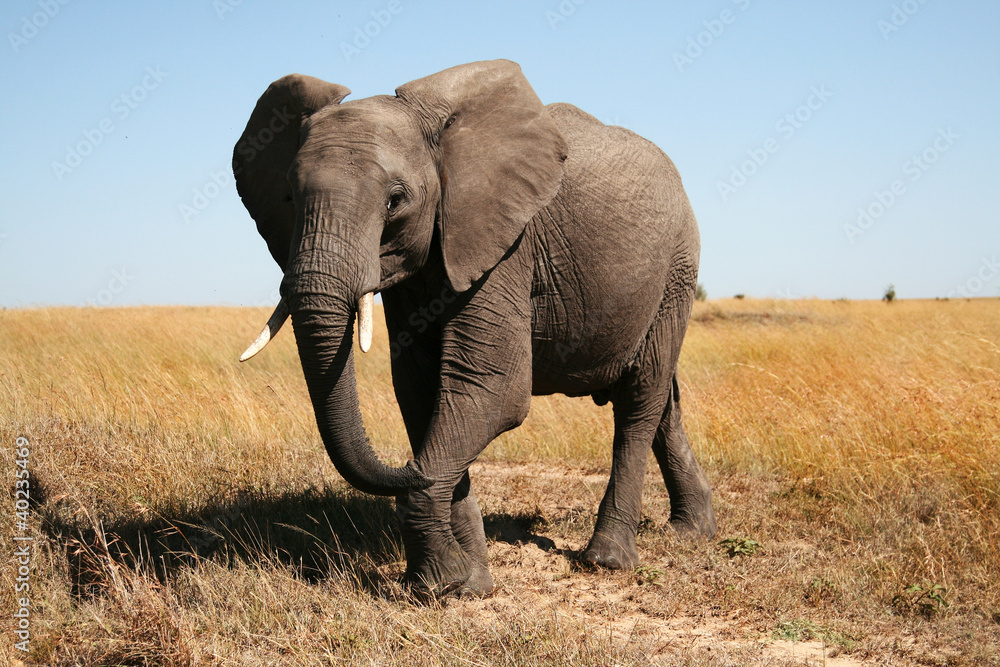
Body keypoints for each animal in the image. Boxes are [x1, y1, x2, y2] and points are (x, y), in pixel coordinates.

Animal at [233, 60, 716, 598]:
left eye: (395, 201)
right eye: (290, 198)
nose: (405, 471)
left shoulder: (505, 248)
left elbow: (489, 391)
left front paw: (440, 583)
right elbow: (422, 394)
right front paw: (463, 585)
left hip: (676, 270)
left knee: (639, 398)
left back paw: (607, 560)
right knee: (663, 399)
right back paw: (692, 532)